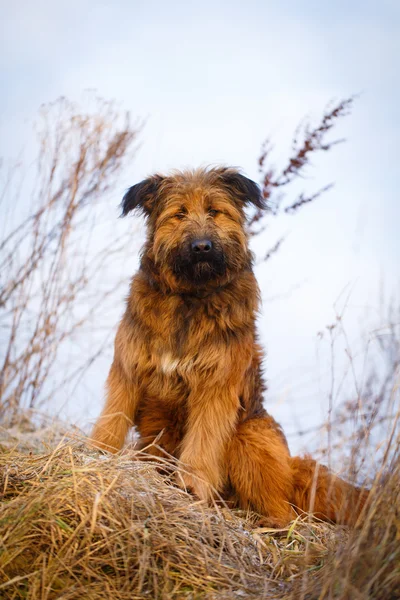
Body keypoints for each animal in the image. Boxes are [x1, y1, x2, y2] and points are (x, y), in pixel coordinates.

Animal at [91, 166, 368, 528]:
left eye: (214, 211)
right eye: (179, 214)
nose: (202, 247)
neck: (190, 298)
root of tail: (293, 468)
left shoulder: (215, 388)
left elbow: (204, 441)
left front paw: (191, 487)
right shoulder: (128, 371)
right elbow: (112, 420)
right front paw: (97, 456)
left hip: (249, 435)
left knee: (284, 510)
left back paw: (268, 524)